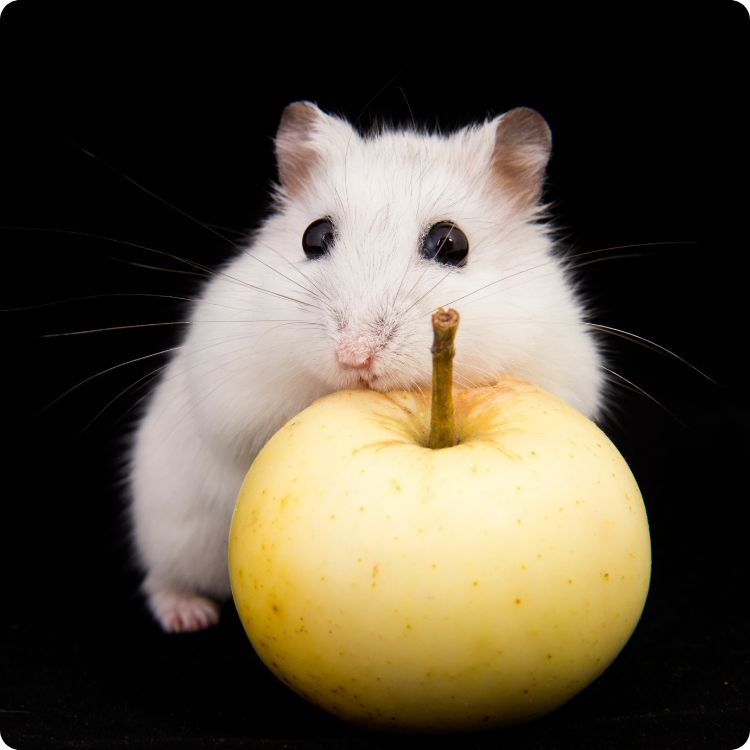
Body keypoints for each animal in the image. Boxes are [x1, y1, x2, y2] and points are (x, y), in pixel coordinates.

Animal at [128, 102, 604, 632]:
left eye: (452, 243)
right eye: (314, 236)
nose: (354, 357)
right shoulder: (231, 385)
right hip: (172, 527)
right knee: (162, 578)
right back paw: (187, 615)